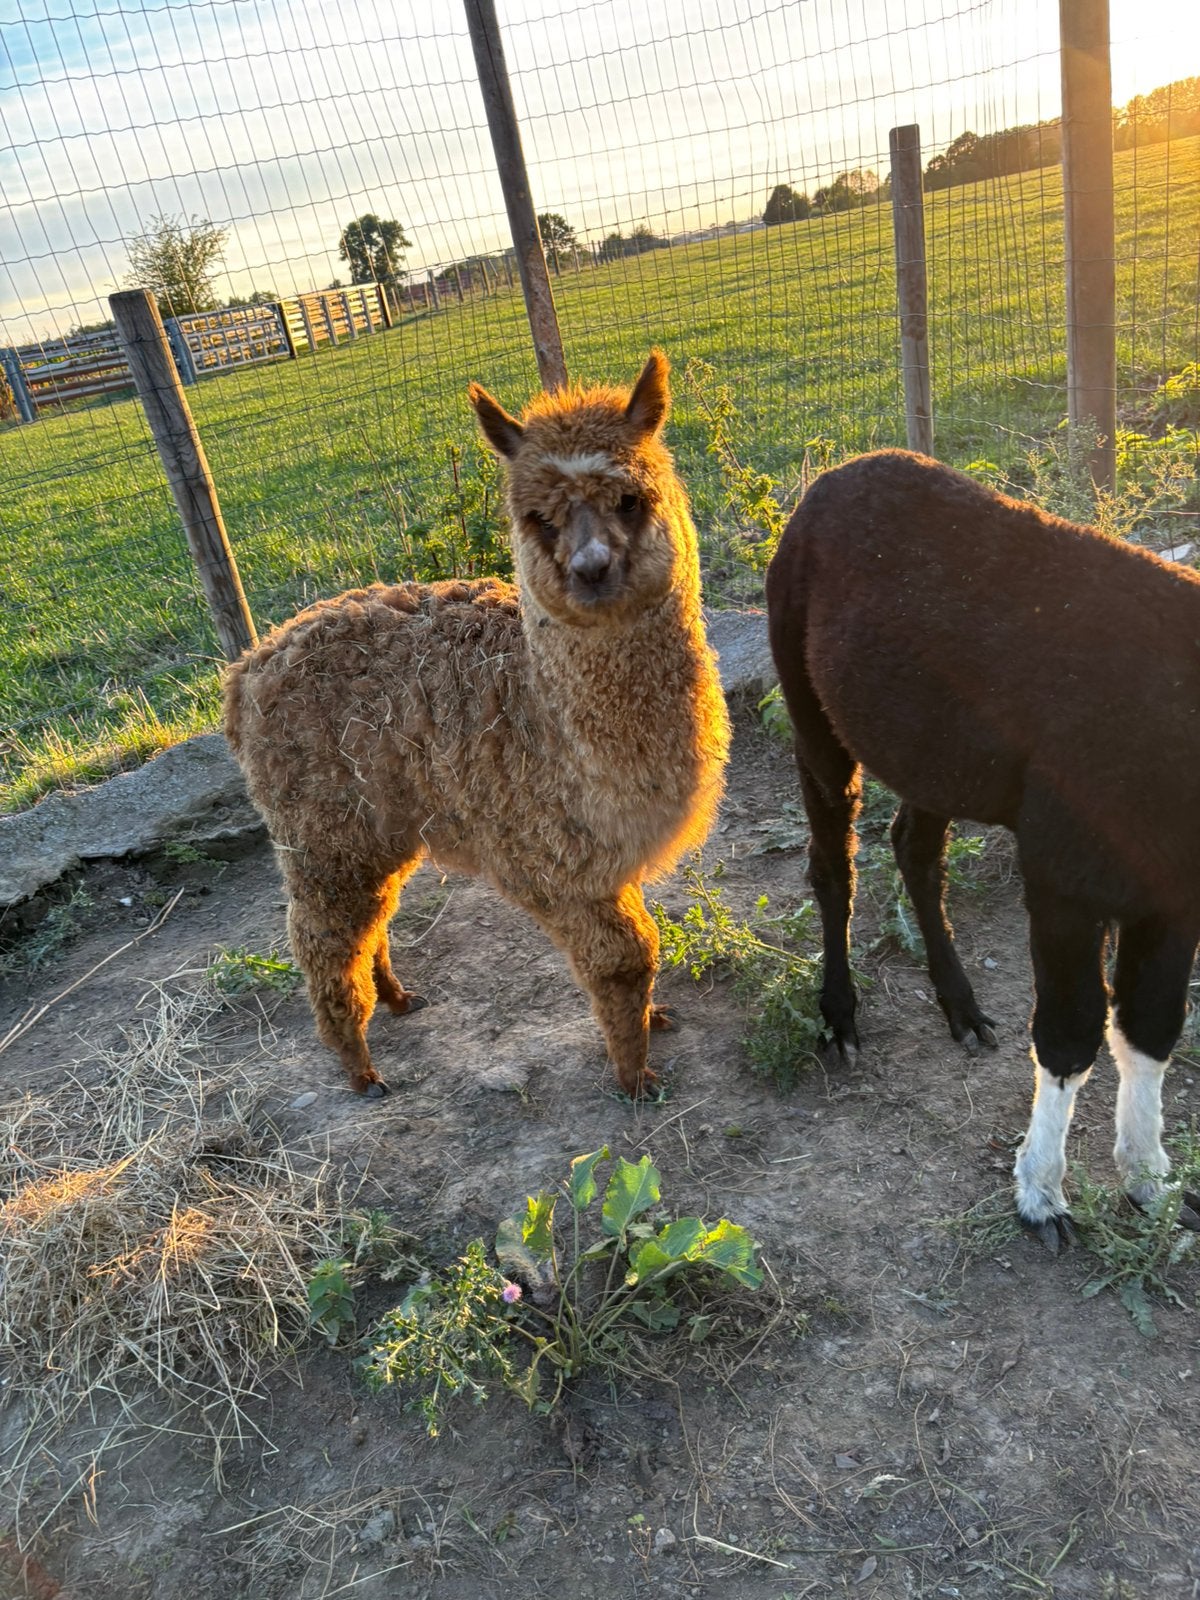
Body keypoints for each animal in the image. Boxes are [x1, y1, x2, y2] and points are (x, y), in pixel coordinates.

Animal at [223, 352, 730, 1099]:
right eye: (536, 517)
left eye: (631, 499)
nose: (591, 568)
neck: (552, 723)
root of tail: (246, 670)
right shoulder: (549, 861)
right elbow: (625, 959)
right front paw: (634, 1075)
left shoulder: (606, 853)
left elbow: (640, 938)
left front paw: (655, 1020)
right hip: (320, 830)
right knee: (325, 934)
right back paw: (359, 1066)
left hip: (379, 819)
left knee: (372, 913)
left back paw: (396, 998)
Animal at [764, 448, 1200, 1249]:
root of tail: (835, 473)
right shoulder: (1065, 871)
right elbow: (1070, 1031)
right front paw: (1042, 1198)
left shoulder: (1175, 886)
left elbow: (1151, 1025)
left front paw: (1151, 1184)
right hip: (810, 702)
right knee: (832, 860)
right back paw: (839, 1015)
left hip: (932, 746)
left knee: (914, 850)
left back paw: (961, 1007)